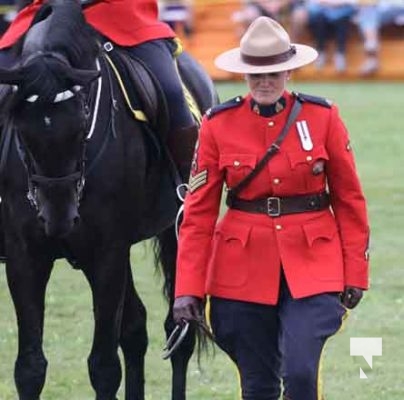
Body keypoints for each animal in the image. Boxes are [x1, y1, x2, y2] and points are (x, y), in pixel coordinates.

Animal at [0, 1, 218, 398]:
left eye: (82, 119)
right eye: (20, 127)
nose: (58, 218)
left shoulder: (106, 253)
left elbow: (103, 366)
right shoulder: (26, 256)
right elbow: (29, 368)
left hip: (173, 233)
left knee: (177, 332)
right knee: (135, 329)